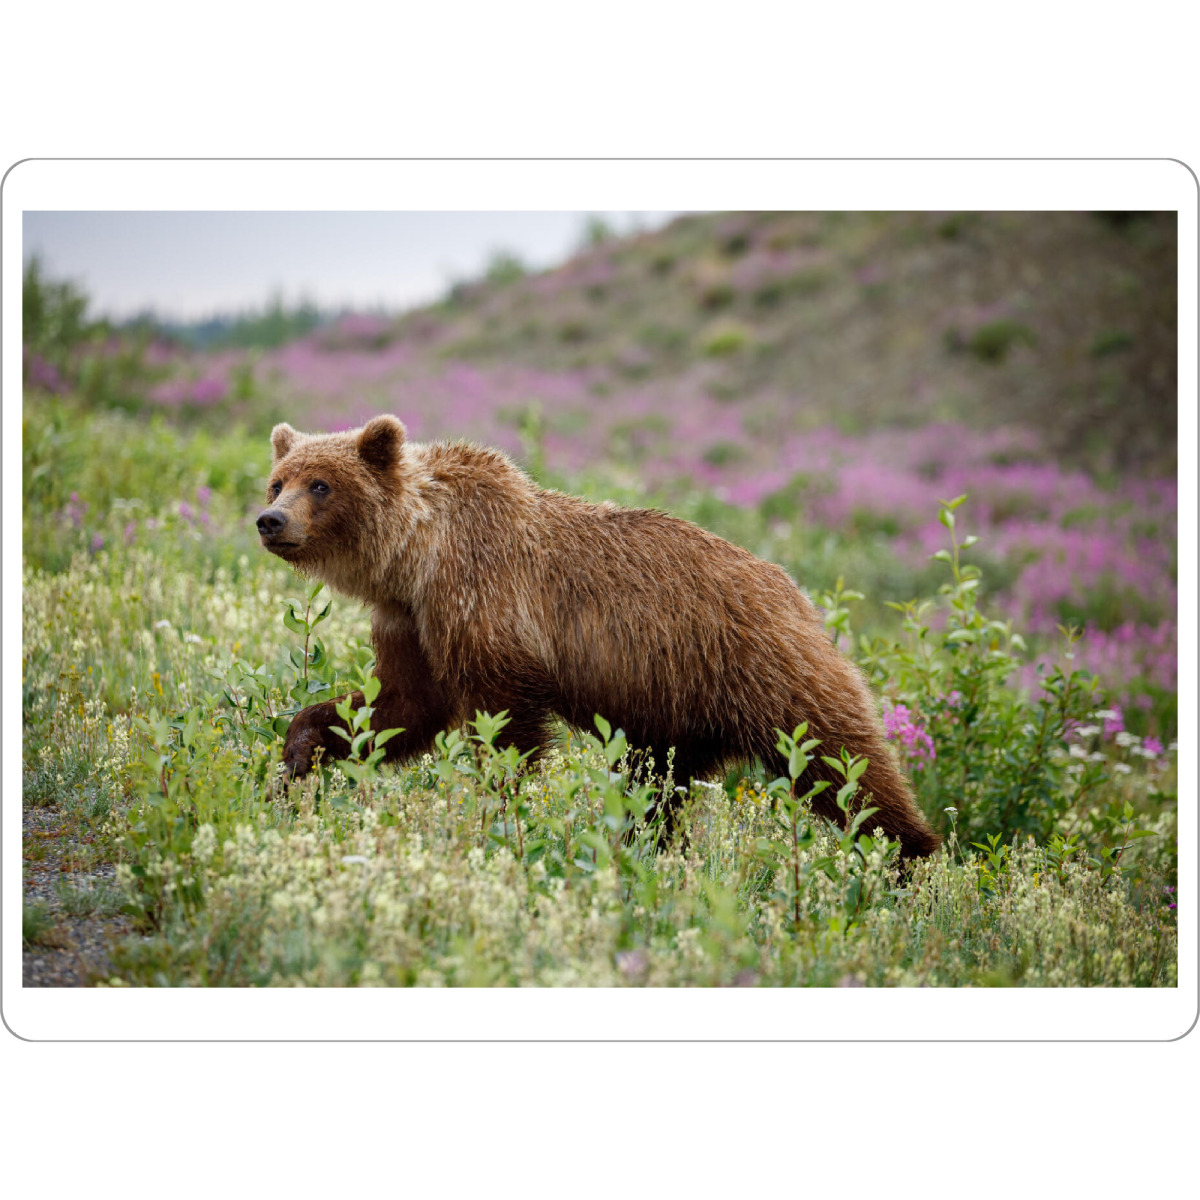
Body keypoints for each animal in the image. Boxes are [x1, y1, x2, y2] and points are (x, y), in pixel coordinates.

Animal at [257, 414, 941, 859]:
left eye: (321, 483)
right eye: (278, 480)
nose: (270, 520)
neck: (417, 555)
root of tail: (800, 594)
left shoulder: (484, 594)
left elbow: (502, 723)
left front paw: (497, 815)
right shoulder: (411, 618)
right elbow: (395, 708)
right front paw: (294, 758)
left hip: (766, 668)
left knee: (845, 765)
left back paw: (911, 857)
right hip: (674, 714)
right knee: (658, 789)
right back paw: (644, 850)